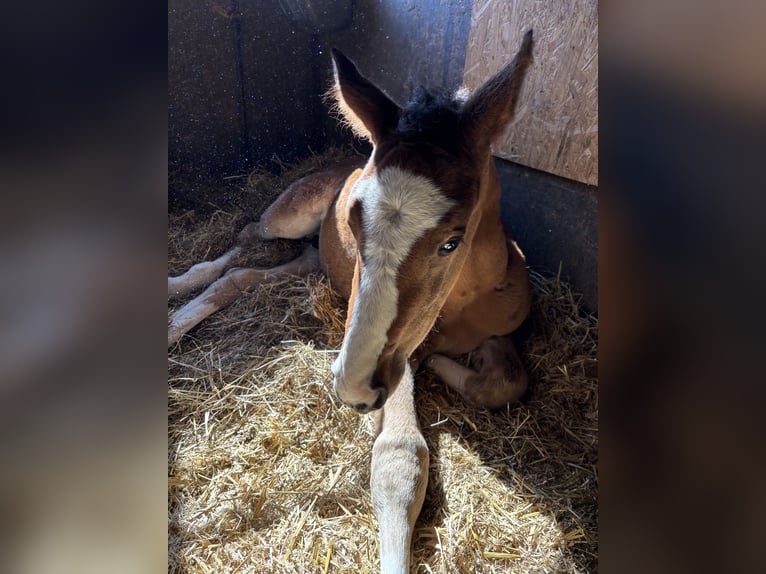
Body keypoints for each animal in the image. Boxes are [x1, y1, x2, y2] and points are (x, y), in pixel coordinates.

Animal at [168, 30, 534, 573]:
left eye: (453, 241)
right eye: (353, 219)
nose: (352, 385)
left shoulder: (498, 329)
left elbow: (507, 383)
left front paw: (448, 364)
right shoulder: (395, 361)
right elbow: (399, 456)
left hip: (311, 264)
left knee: (241, 276)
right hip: (289, 216)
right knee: (247, 237)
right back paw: (175, 296)